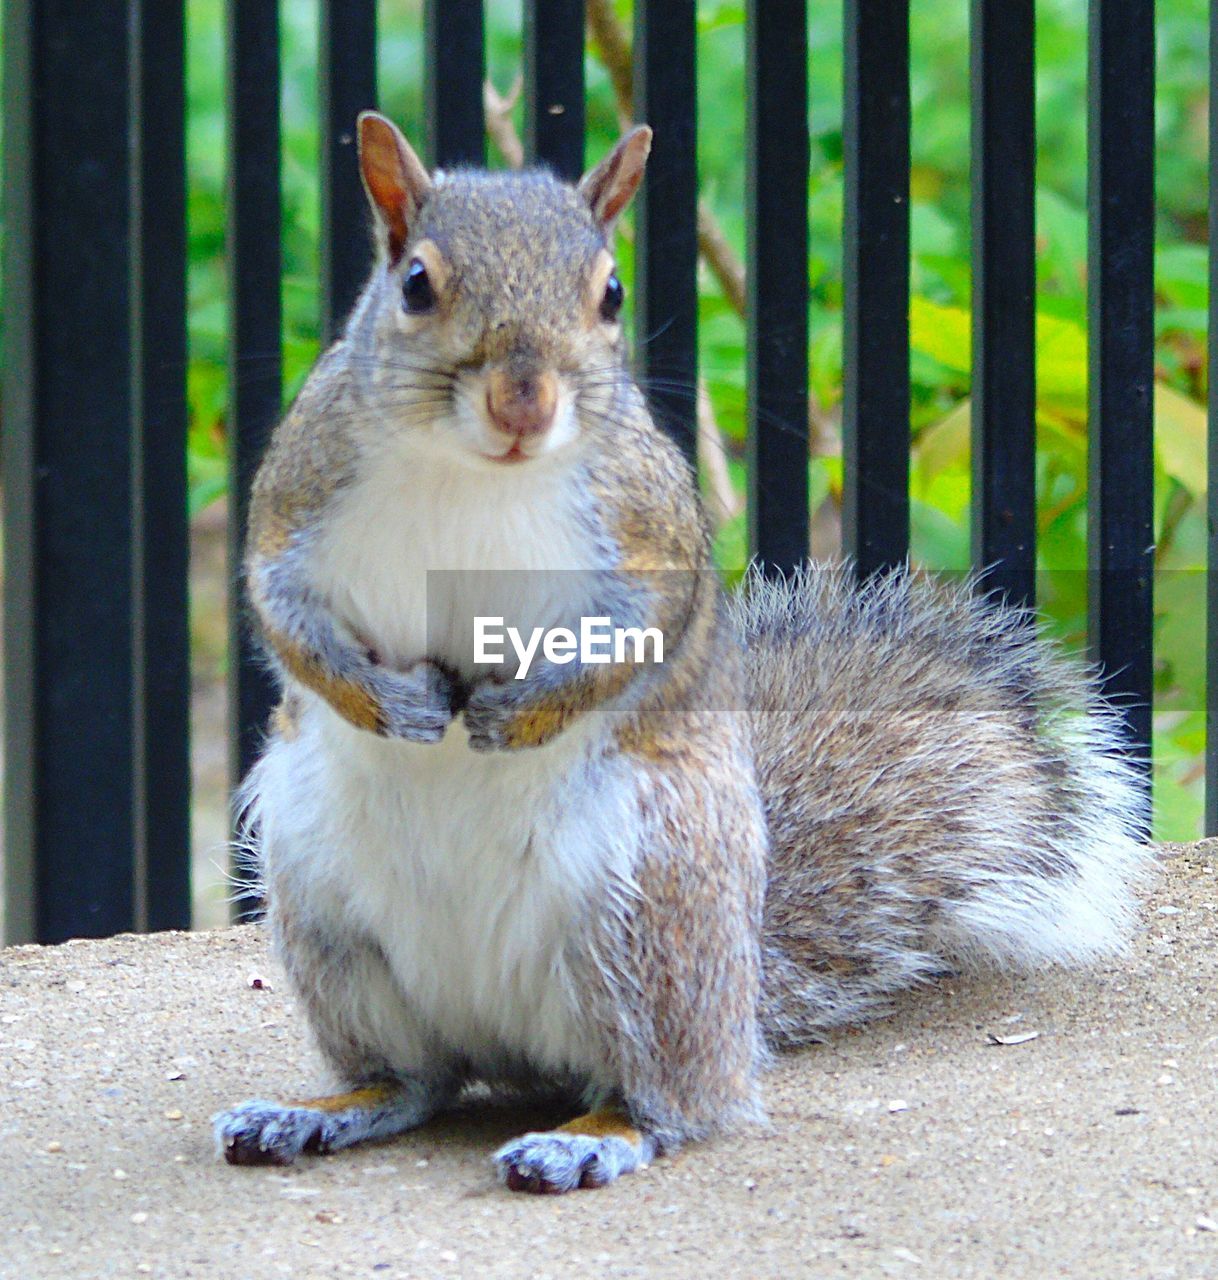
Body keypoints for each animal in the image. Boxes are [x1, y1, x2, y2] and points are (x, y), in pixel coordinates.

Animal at [213, 110, 1156, 1187]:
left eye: (611, 293)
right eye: (415, 283)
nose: (523, 403)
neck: (474, 471)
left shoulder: (648, 528)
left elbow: (640, 636)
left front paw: (517, 713)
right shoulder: (296, 499)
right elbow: (283, 615)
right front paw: (388, 701)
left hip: (650, 910)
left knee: (675, 1099)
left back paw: (594, 1134)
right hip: (323, 912)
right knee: (417, 1079)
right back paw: (321, 1109)